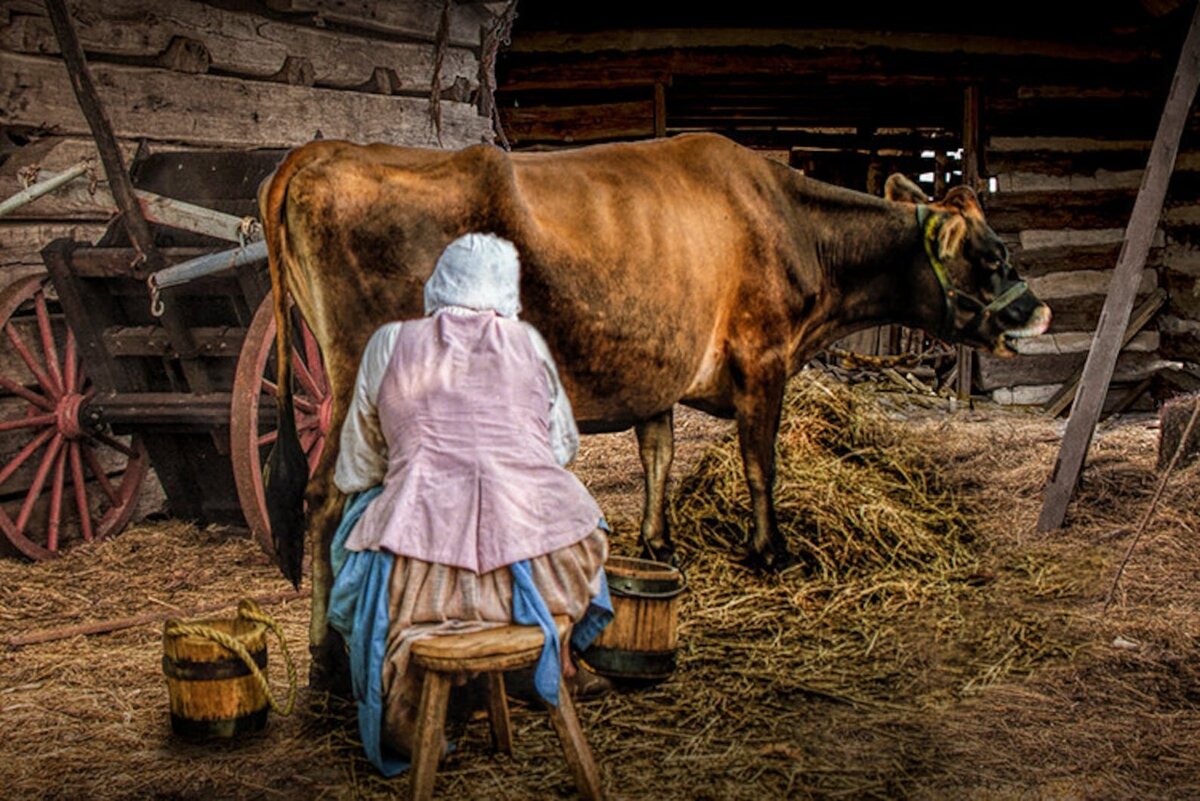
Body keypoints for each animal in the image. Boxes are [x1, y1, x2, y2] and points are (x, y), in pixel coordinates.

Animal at [258, 134, 1046, 661]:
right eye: (992, 254)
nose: (1036, 312)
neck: (790, 224)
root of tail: (319, 152)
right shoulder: (763, 358)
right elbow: (760, 464)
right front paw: (770, 551)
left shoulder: (656, 371)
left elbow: (658, 457)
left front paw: (659, 541)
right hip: (359, 376)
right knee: (327, 498)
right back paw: (327, 660)